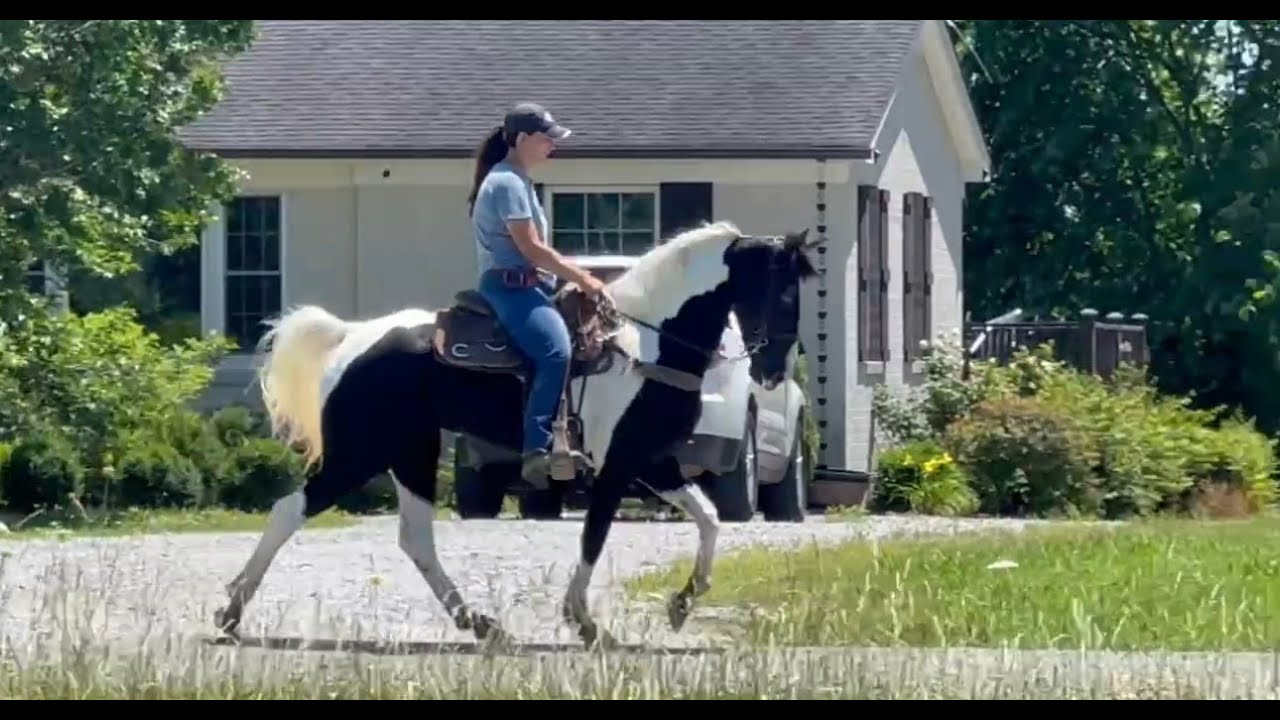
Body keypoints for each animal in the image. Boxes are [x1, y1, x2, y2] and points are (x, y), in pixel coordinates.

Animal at [213, 220, 821, 649]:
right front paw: (585, 622)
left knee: (415, 539)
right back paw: (230, 613)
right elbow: (594, 538)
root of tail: (353, 338)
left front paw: (682, 605)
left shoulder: (652, 461)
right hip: (360, 454)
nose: (773, 371)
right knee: (289, 511)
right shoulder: (618, 465)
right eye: (780, 293)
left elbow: (710, 518)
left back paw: (481, 624)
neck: (648, 347)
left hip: (411, 451)